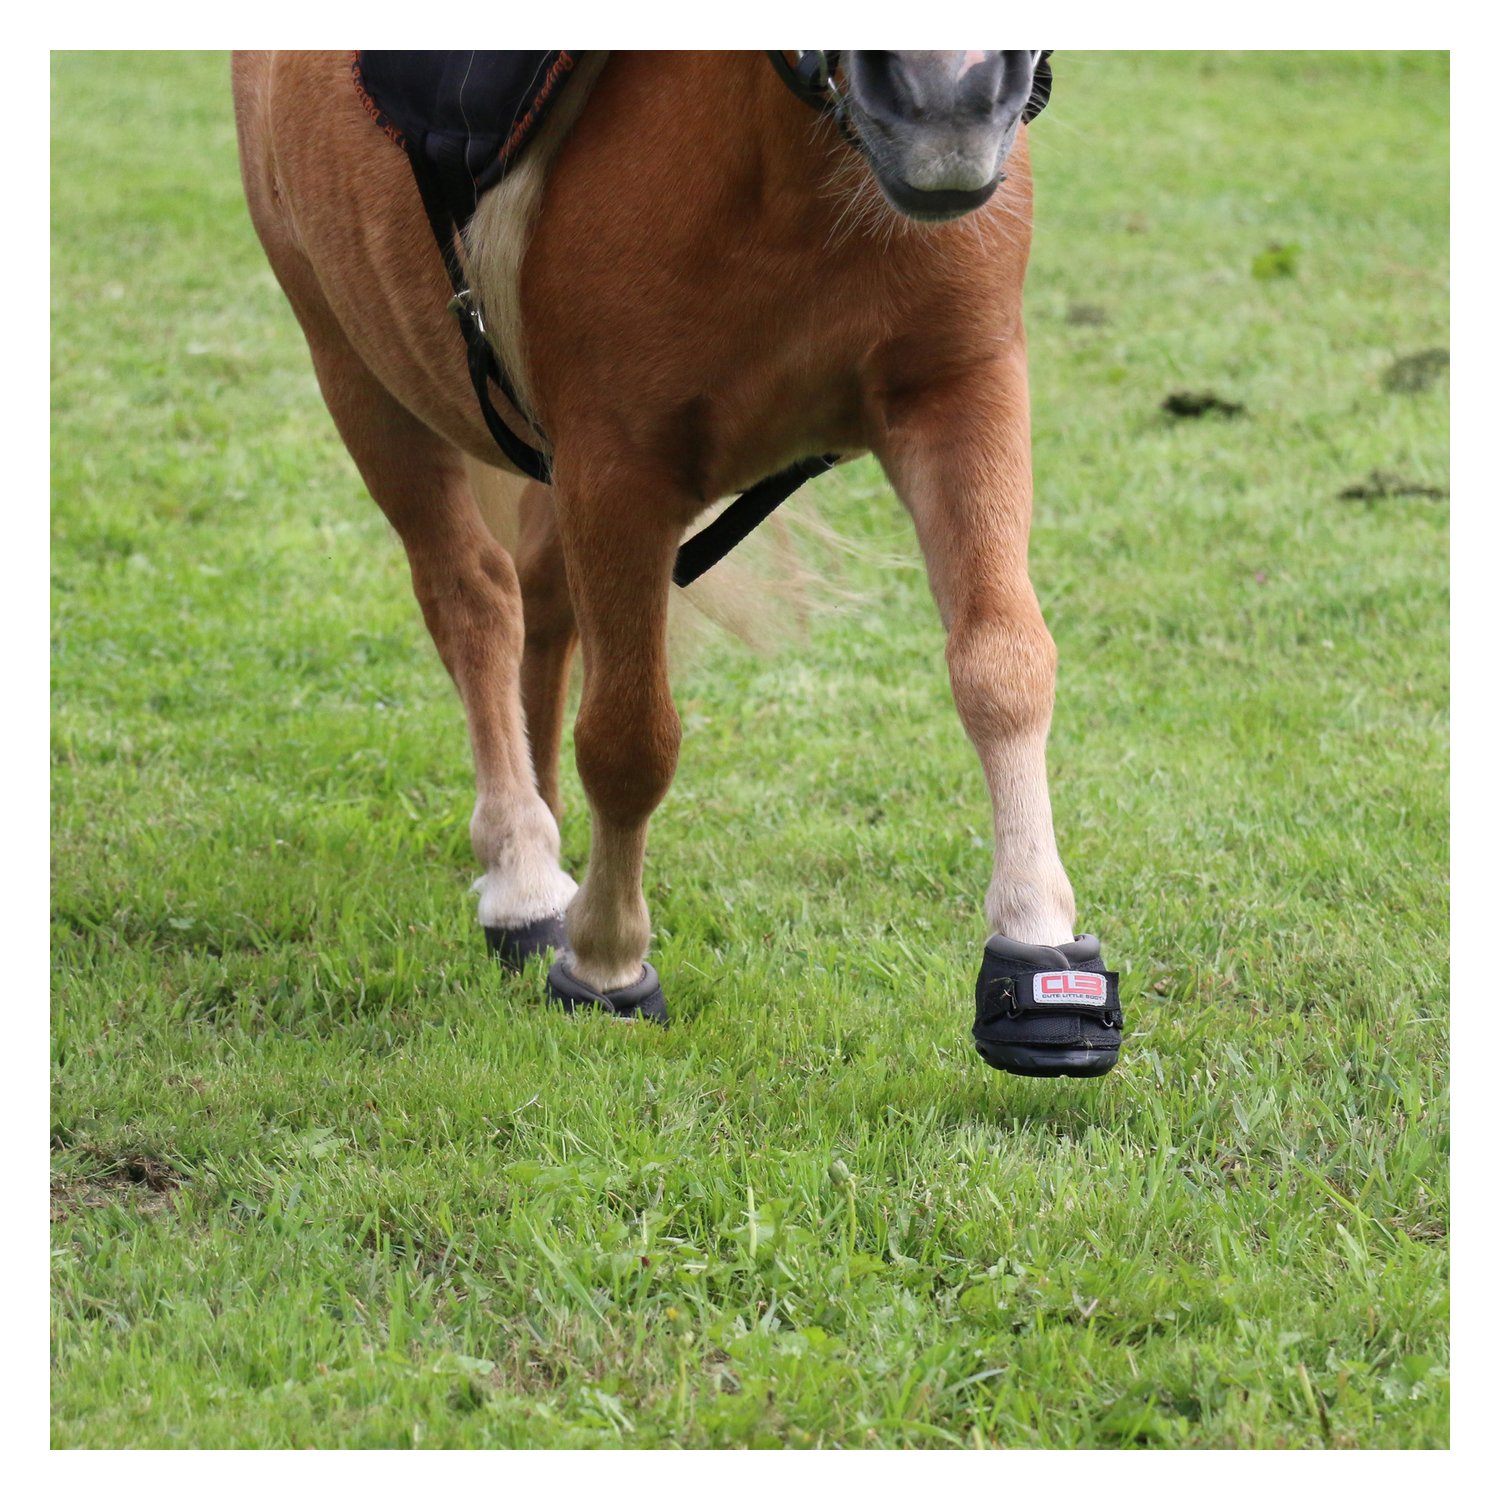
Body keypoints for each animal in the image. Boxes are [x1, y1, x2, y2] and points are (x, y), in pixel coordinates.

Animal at [231, 49, 1123, 1077]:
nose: (951, 96)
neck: (785, 166)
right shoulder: (617, 467)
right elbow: (629, 739)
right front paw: (608, 964)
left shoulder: (960, 393)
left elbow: (1003, 664)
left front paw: (1040, 948)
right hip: (357, 374)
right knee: (474, 600)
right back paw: (522, 871)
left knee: (542, 607)